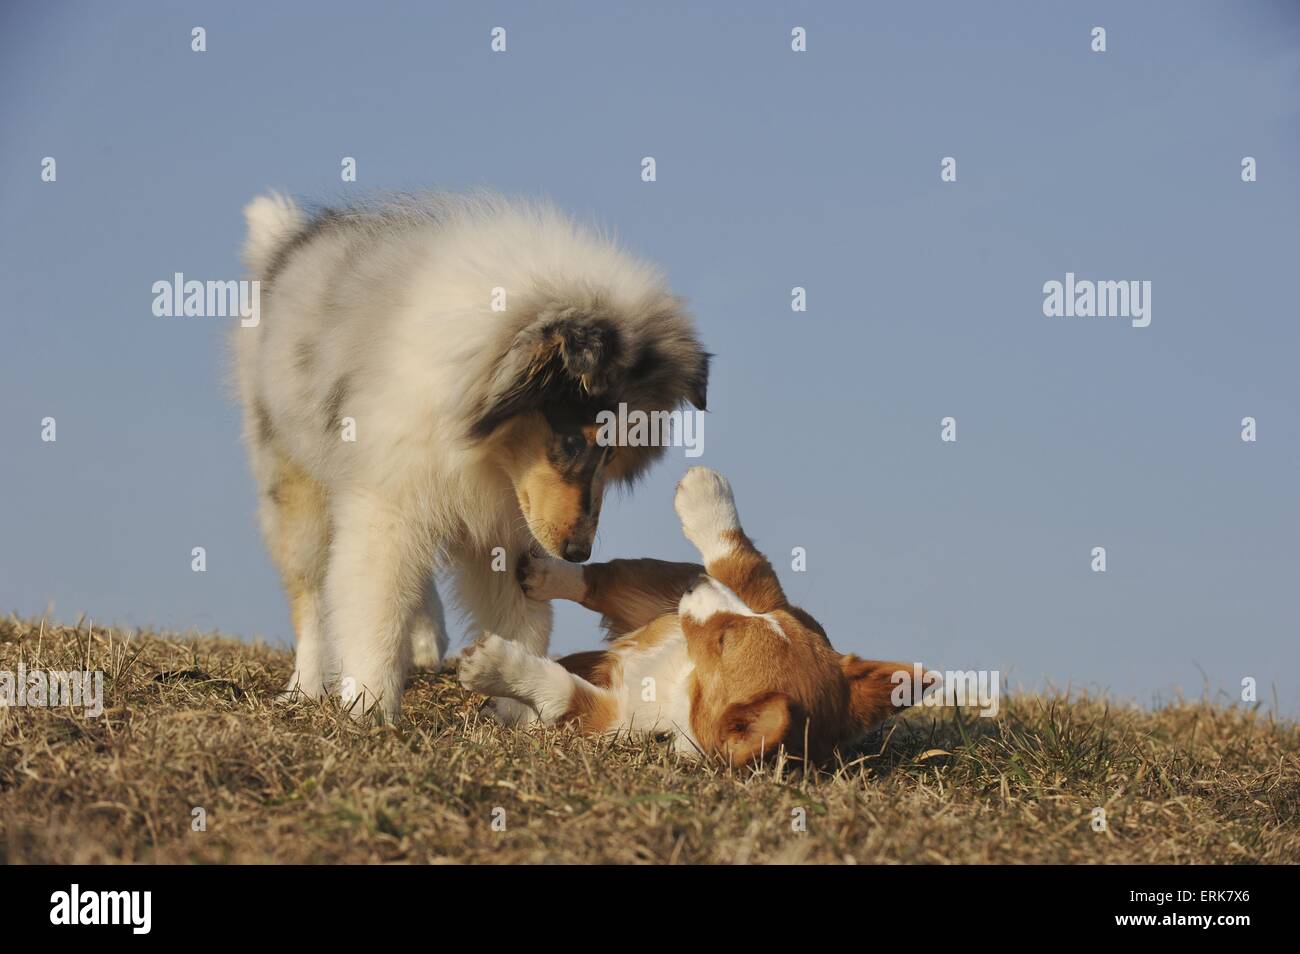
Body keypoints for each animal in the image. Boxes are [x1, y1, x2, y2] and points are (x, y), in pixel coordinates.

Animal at [457, 467, 925, 764]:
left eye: (723, 641)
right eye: (754, 622)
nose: (697, 584)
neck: (686, 683)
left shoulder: (607, 717)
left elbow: (559, 688)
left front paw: (492, 663)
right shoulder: (773, 602)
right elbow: (741, 560)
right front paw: (706, 490)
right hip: (653, 603)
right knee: (609, 577)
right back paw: (542, 572)